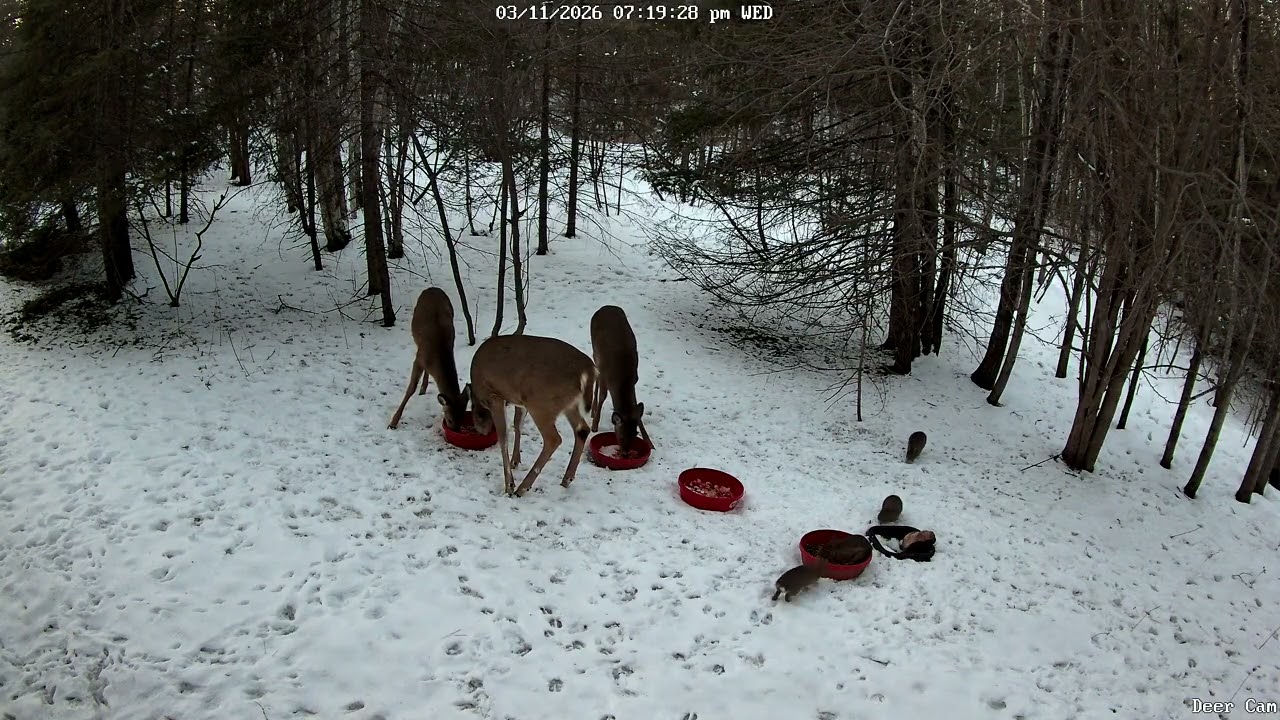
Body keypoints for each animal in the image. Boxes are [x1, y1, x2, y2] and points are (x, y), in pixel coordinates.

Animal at [387, 287, 470, 433]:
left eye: (463, 418)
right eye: (450, 419)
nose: (454, 431)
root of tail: (433, 288)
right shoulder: (418, 359)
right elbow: (411, 388)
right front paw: (393, 422)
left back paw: (424, 387)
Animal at [468, 334, 597, 498]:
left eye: (477, 416)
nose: (481, 431)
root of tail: (589, 368)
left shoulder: (494, 397)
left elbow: (503, 437)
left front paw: (509, 485)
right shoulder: (518, 401)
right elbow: (518, 424)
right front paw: (515, 461)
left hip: (540, 403)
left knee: (554, 439)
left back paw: (522, 488)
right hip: (568, 405)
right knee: (582, 429)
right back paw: (566, 479)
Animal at [589, 305, 652, 452]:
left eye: (635, 434)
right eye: (621, 435)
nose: (625, 453)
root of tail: (606, 306)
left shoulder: (634, 379)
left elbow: (635, 407)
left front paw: (649, 441)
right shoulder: (605, 374)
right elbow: (602, 396)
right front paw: (594, 425)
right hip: (595, 351)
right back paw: (592, 411)